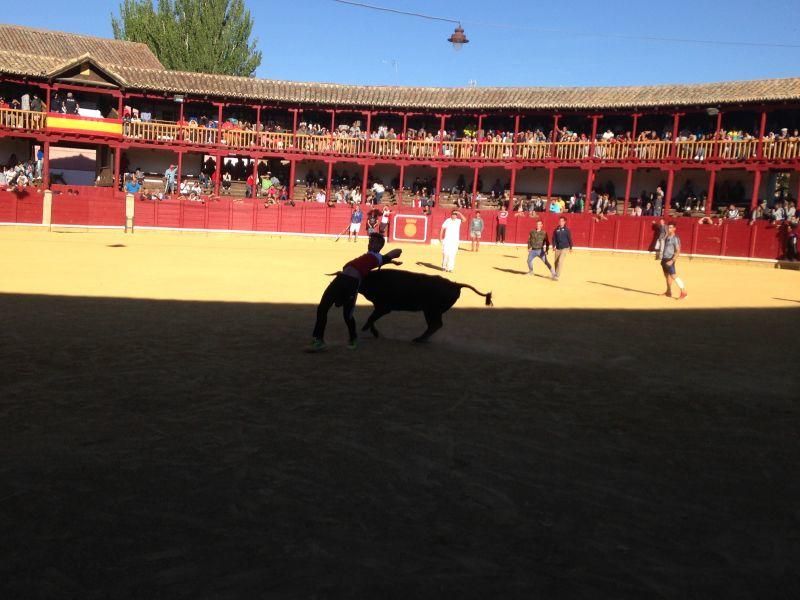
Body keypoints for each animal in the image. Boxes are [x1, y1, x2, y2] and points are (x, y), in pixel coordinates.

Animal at [358, 270, 494, 342]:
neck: (373, 279)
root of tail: (455, 284)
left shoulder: (384, 307)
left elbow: (371, 318)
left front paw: (365, 329)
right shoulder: (379, 307)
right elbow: (372, 318)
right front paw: (374, 332)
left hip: (431, 310)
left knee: (435, 325)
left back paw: (419, 339)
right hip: (430, 311)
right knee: (434, 325)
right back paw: (421, 339)